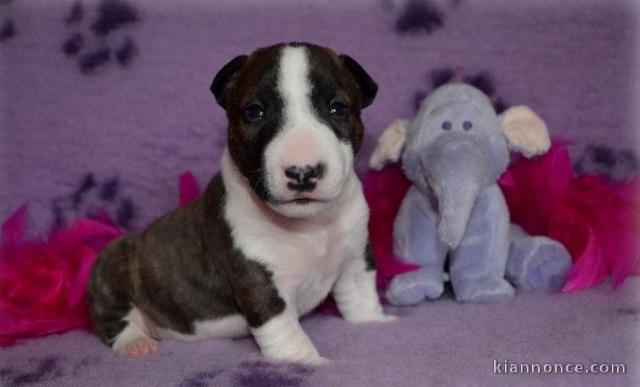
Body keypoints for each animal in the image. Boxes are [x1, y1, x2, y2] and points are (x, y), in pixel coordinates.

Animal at [87, 42, 392, 366]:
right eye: (255, 111)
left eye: (338, 109)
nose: (302, 172)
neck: (310, 225)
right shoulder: (259, 283)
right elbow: (285, 331)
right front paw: (308, 363)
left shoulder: (356, 258)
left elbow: (360, 296)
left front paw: (375, 323)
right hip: (111, 268)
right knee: (116, 320)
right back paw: (136, 343)